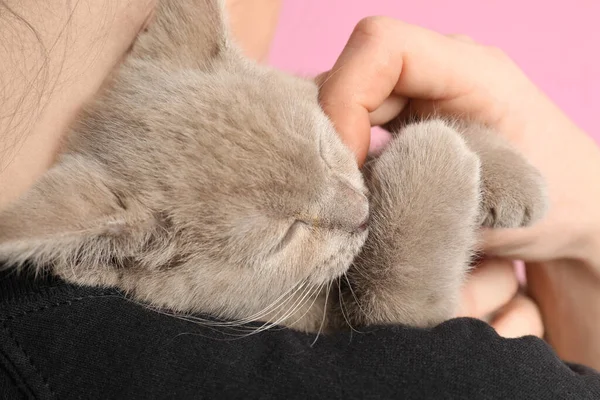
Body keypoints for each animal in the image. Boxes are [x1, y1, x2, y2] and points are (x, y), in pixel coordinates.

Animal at [0, 0, 548, 332]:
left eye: (324, 147)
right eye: (284, 236)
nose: (361, 214)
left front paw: (511, 175)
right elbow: (400, 302)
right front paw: (436, 155)